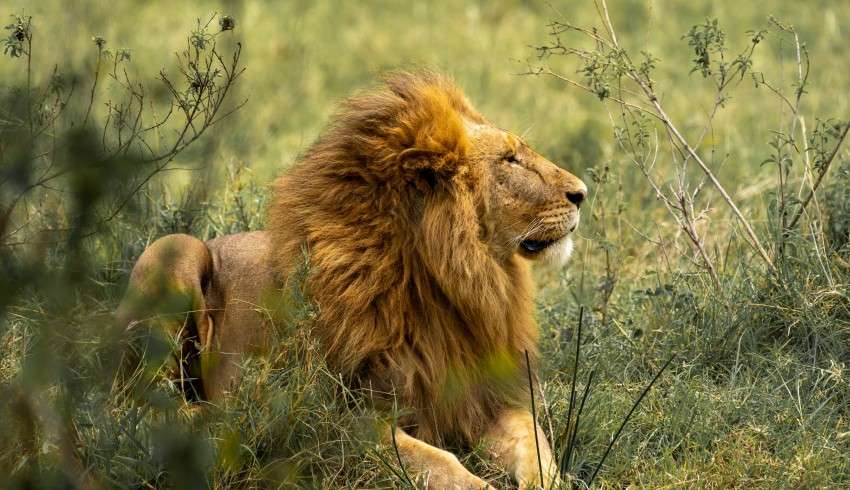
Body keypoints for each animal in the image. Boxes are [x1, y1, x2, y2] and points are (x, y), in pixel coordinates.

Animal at [117, 72, 584, 490]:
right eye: (510, 159)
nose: (582, 193)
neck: (450, 283)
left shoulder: (488, 399)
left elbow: (536, 445)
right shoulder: (338, 418)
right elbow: (437, 461)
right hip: (173, 249)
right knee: (135, 404)